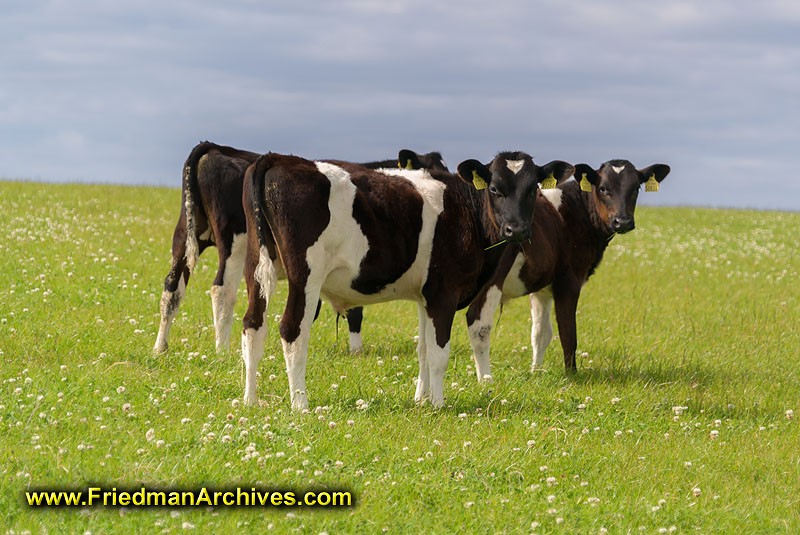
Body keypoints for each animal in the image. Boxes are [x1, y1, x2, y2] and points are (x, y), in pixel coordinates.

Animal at [241, 149, 572, 408]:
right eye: (494, 188)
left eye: (533, 189)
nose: (516, 229)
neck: (466, 210)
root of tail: (278, 158)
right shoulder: (444, 293)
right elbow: (439, 352)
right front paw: (437, 404)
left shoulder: (425, 296)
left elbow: (423, 349)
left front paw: (420, 399)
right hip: (305, 276)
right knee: (292, 330)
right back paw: (300, 404)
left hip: (255, 267)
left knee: (253, 325)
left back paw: (251, 400)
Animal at [462, 159, 668, 376]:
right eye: (603, 188)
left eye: (636, 188)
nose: (623, 221)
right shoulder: (569, 281)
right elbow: (568, 334)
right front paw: (571, 374)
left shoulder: (541, 287)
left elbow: (541, 333)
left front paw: (536, 372)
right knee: (478, 323)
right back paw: (485, 379)